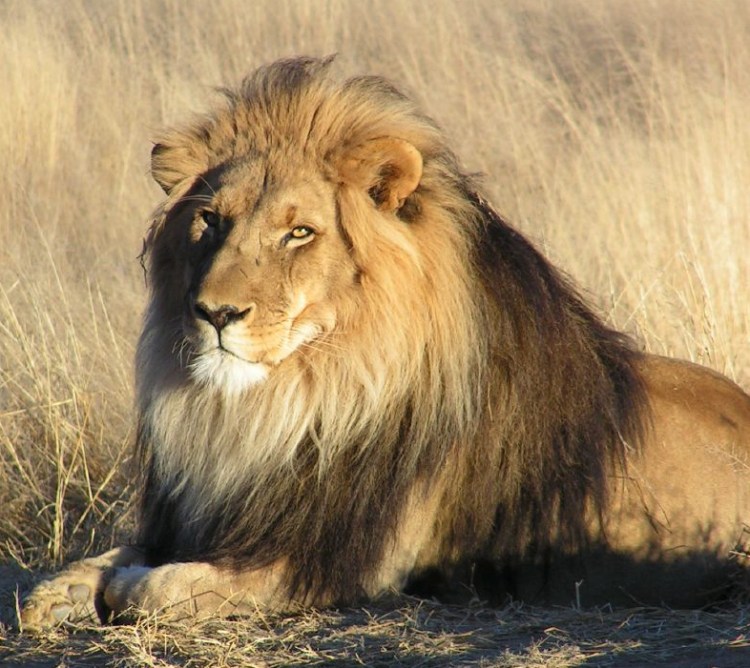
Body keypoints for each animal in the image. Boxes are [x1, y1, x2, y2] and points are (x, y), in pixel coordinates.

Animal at [21, 56, 750, 629]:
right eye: (211, 220)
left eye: (299, 232)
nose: (215, 313)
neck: (290, 402)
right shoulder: (210, 517)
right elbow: (107, 557)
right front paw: (57, 595)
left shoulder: (334, 562)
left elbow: (162, 585)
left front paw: (123, 589)